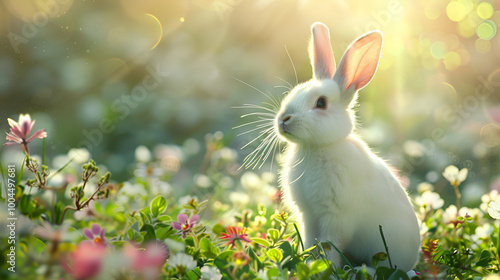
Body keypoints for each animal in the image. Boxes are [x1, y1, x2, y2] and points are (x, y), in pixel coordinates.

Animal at [274, 23, 422, 272]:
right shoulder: (308, 216)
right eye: (293, 93)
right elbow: (311, 241)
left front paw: (324, 268)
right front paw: (307, 262)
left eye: (321, 103)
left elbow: (330, 245)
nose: (284, 119)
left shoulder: (336, 217)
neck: (319, 147)